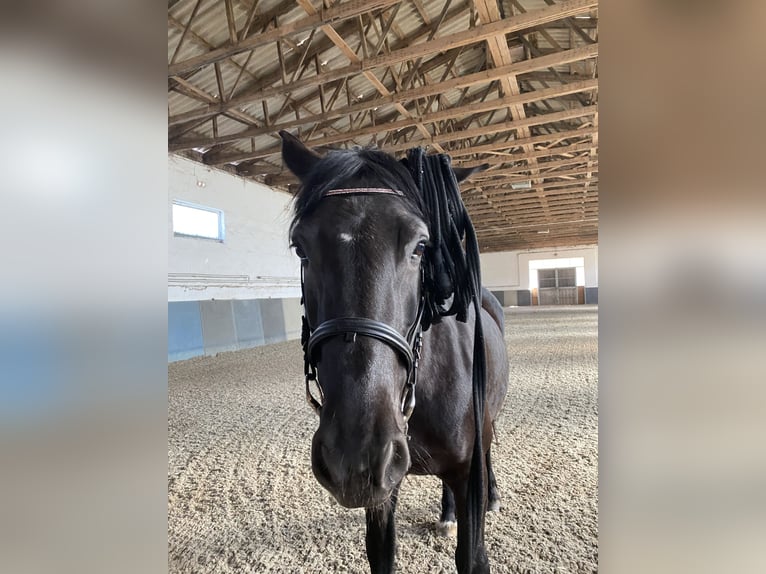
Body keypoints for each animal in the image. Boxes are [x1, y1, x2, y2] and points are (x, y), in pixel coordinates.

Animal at [280, 130, 509, 574]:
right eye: (300, 248)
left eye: (421, 246)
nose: (354, 455)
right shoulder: (382, 489)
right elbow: (381, 552)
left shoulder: (465, 476)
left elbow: (471, 556)